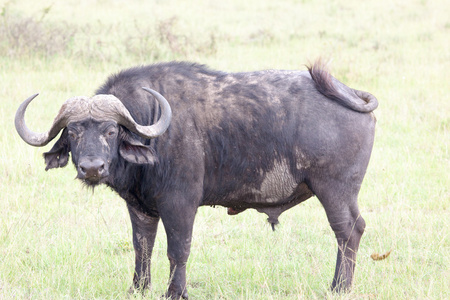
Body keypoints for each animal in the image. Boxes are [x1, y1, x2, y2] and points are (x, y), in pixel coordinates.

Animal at [14, 60, 376, 298]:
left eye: (111, 130)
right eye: (73, 132)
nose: (92, 168)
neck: (153, 128)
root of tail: (350, 94)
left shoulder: (180, 204)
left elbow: (178, 249)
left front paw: (176, 292)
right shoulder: (140, 207)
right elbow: (142, 246)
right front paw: (138, 288)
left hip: (334, 190)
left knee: (349, 231)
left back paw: (339, 287)